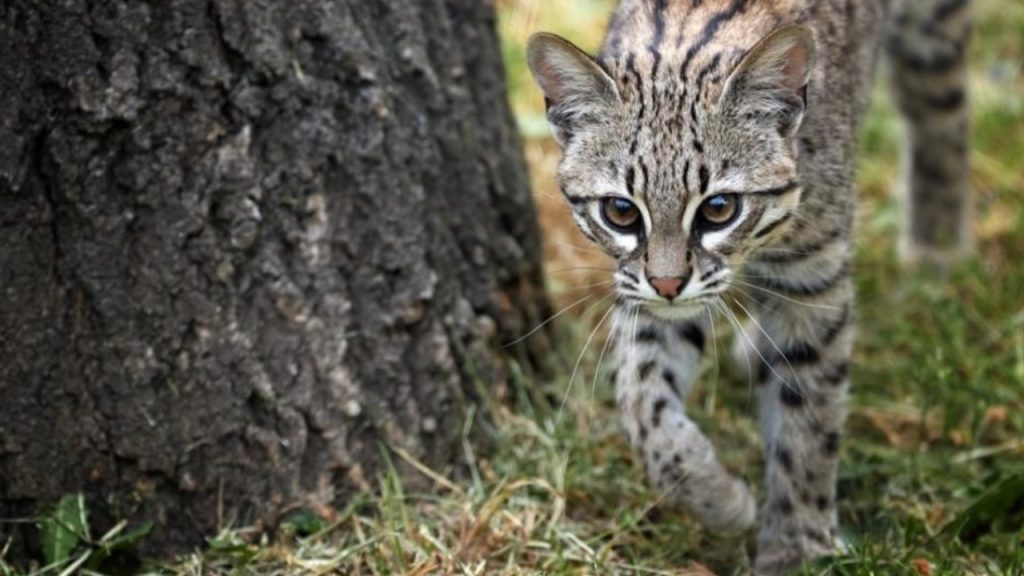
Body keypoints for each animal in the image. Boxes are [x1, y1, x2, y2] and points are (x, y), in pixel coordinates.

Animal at [532, 0, 970, 569]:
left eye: (719, 208)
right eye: (621, 212)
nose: (668, 283)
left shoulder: (813, 276)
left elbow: (809, 416)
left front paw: (798, 547)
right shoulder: (643, 286)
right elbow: (639, 397)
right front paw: (715, 496)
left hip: (932, 32)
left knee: (942, 110)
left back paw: (936, 249)